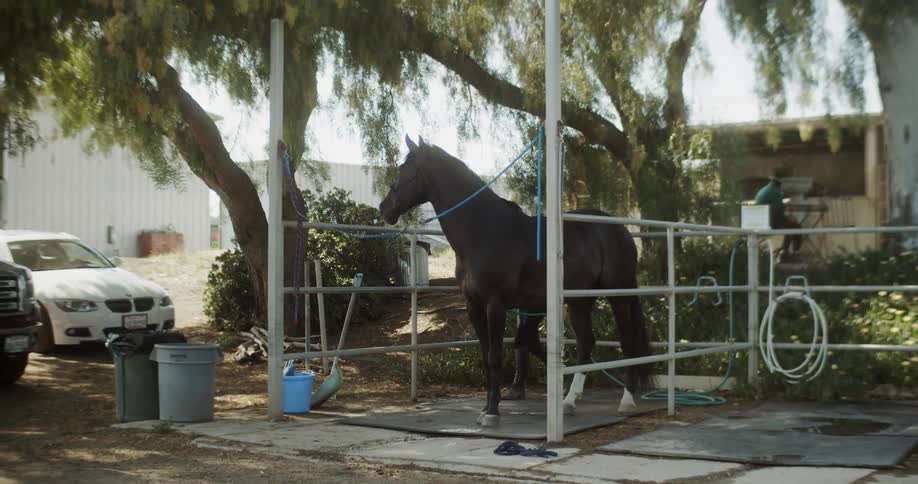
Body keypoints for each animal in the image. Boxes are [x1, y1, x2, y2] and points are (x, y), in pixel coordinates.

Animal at [379, 135, 653, 427]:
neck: (483, 232)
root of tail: (620, 230)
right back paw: (569, 401)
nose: (384, 208)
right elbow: (486, 356)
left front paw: (492, 412)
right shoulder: (474, 306)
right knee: (585, 345)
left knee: (627, 341)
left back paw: (626, 401)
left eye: (405, 170)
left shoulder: (495, 305)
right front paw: (486, 407)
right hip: (579, 302)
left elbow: (496, 356)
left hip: (618, 295)